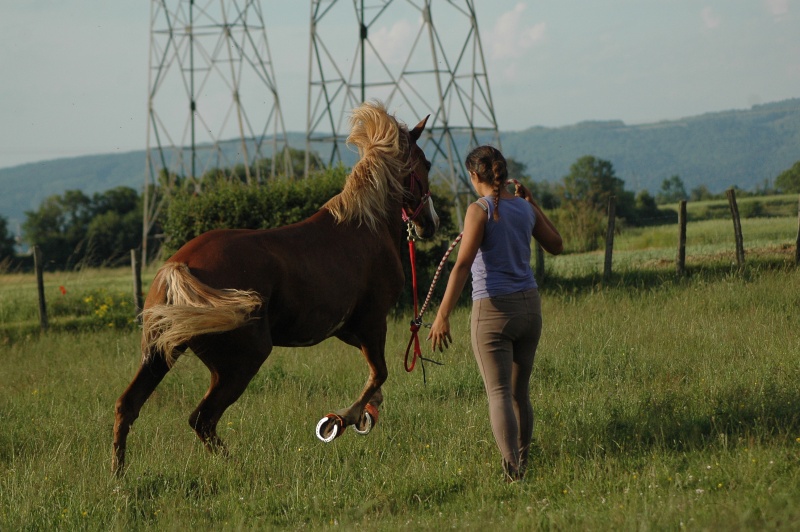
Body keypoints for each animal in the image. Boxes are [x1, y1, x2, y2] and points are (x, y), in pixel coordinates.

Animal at [111, 102, 438, 476]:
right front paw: (342, 420)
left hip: (160, 352)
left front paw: (364, 414)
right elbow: (379, 373)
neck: (366, 226)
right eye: (426, 164)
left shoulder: (345, 328)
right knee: (202, 419)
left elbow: (376, 377)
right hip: (240, 362)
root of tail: (179, 267)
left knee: (129, 406)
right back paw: (239, 468)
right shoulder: (371, 322)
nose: (430, 223)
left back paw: (118, 475)